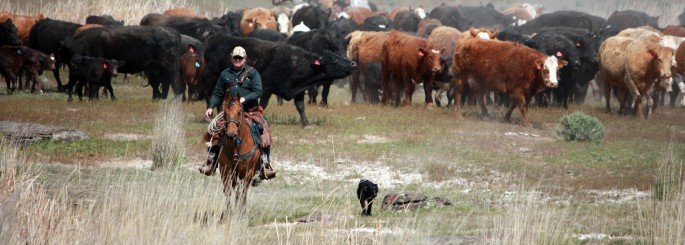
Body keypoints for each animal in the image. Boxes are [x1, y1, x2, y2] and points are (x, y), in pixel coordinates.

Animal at [202, 34, 352, 126]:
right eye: (333, 58)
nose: (352, 63)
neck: (296, 63)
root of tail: (213, 38)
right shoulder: (267, 88)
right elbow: (262, 105)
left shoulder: (299, 90)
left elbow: (300, 107)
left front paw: (306, 123)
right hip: (211, 79)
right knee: (211, 97)